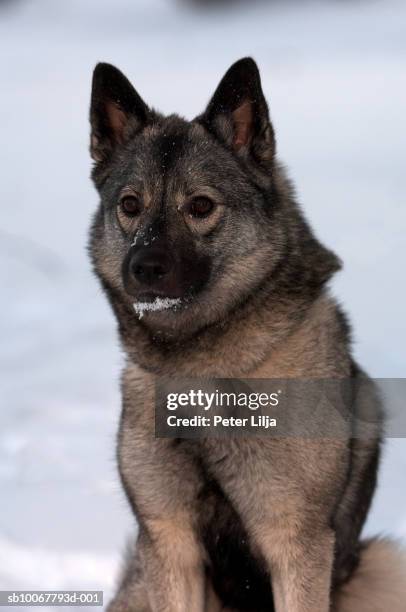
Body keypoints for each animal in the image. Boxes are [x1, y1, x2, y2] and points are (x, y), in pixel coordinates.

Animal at [87, 58, 404, 612]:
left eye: (200, 206)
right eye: (130, 204)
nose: (143, 269)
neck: (199, 368)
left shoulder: (297, 543)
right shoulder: (169, 544)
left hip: (384, 565)